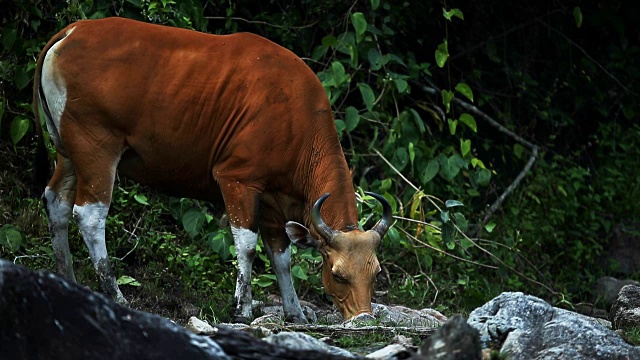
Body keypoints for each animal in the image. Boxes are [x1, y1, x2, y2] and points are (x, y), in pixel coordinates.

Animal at [36, 18, 396, 324]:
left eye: (376, 274)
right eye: (337, 274)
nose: (364, 318)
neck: (295, 120)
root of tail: (70, 32)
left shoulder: (273, 199)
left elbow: (281, 256)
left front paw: (294, 312)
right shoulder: (237, 179)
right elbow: (247, 244)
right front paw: (242, 308)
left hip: (68, 152)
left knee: (56, 202)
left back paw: (66, 279)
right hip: (96, 146)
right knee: (90, 215)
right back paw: (115, 295)